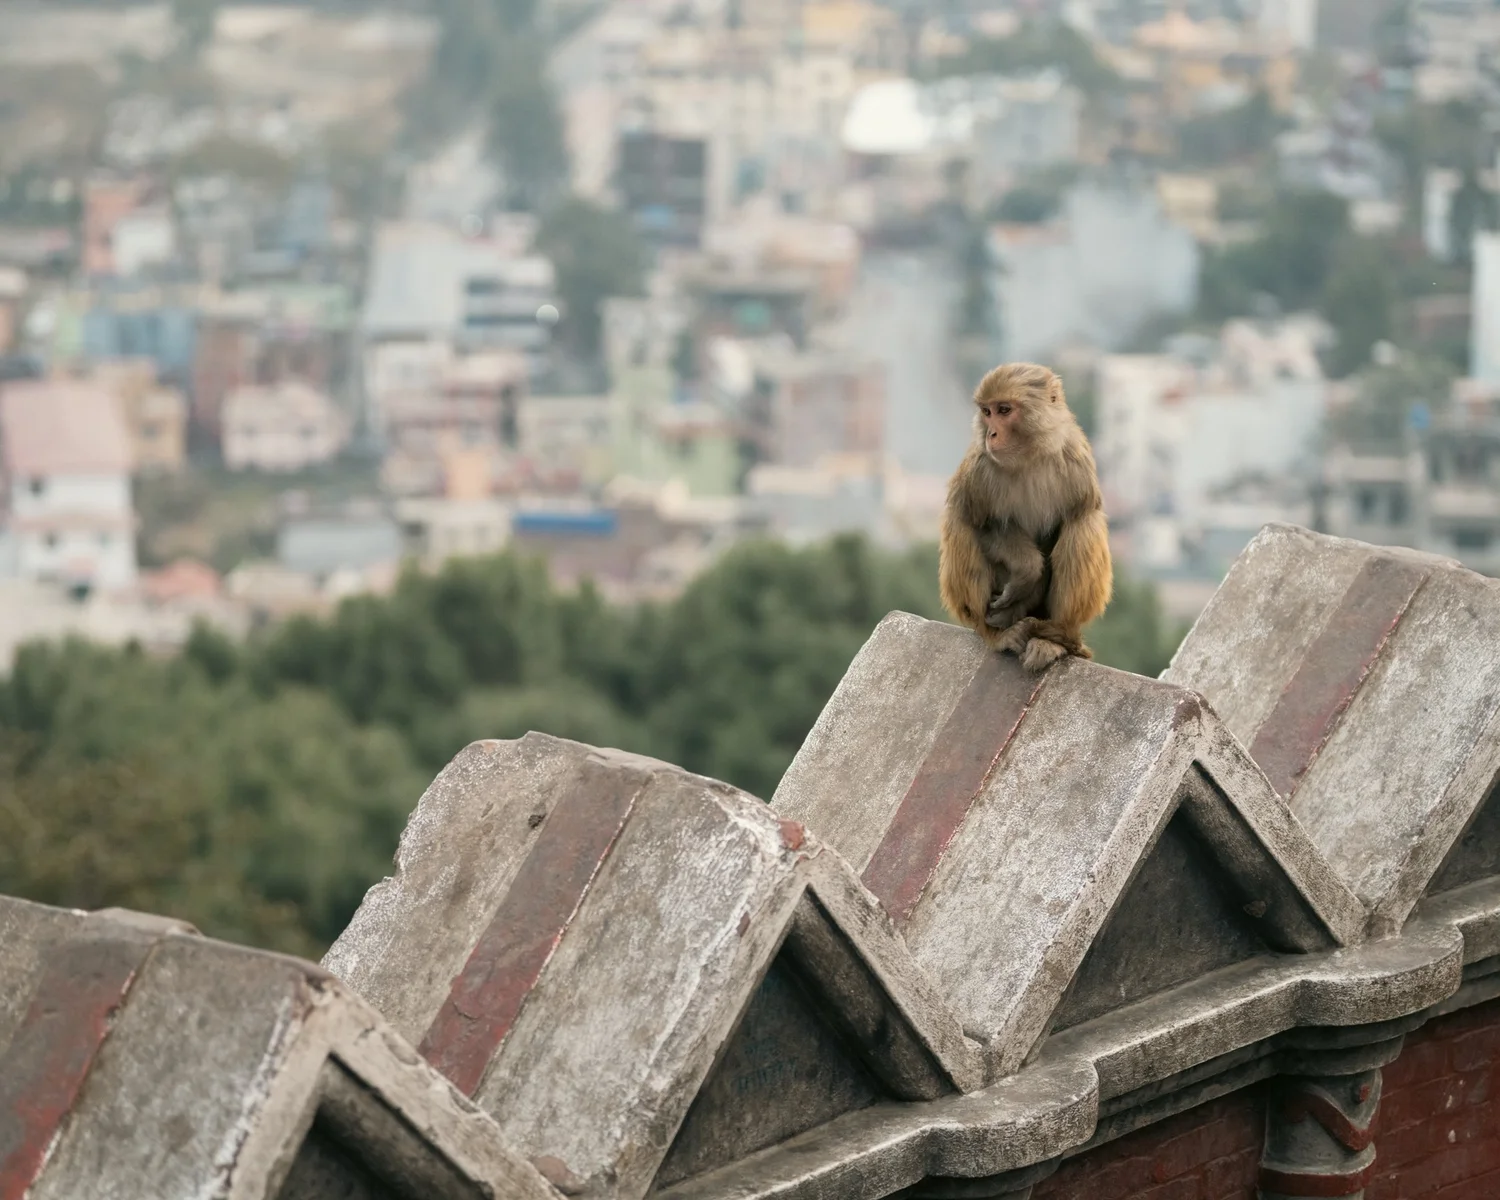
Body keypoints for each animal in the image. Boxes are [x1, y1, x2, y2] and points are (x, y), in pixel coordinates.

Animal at [938, 361, 1113, 673]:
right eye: (987, 412)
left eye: (1004, 410)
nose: (991, 434)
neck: (1029, 456)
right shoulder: (979, 472)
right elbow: (982, 522)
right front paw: (1028, 572)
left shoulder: (1076, 462)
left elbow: (1081, 513)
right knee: (961, 526)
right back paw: (997, 634)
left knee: (1083, 525)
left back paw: (1056, 636)